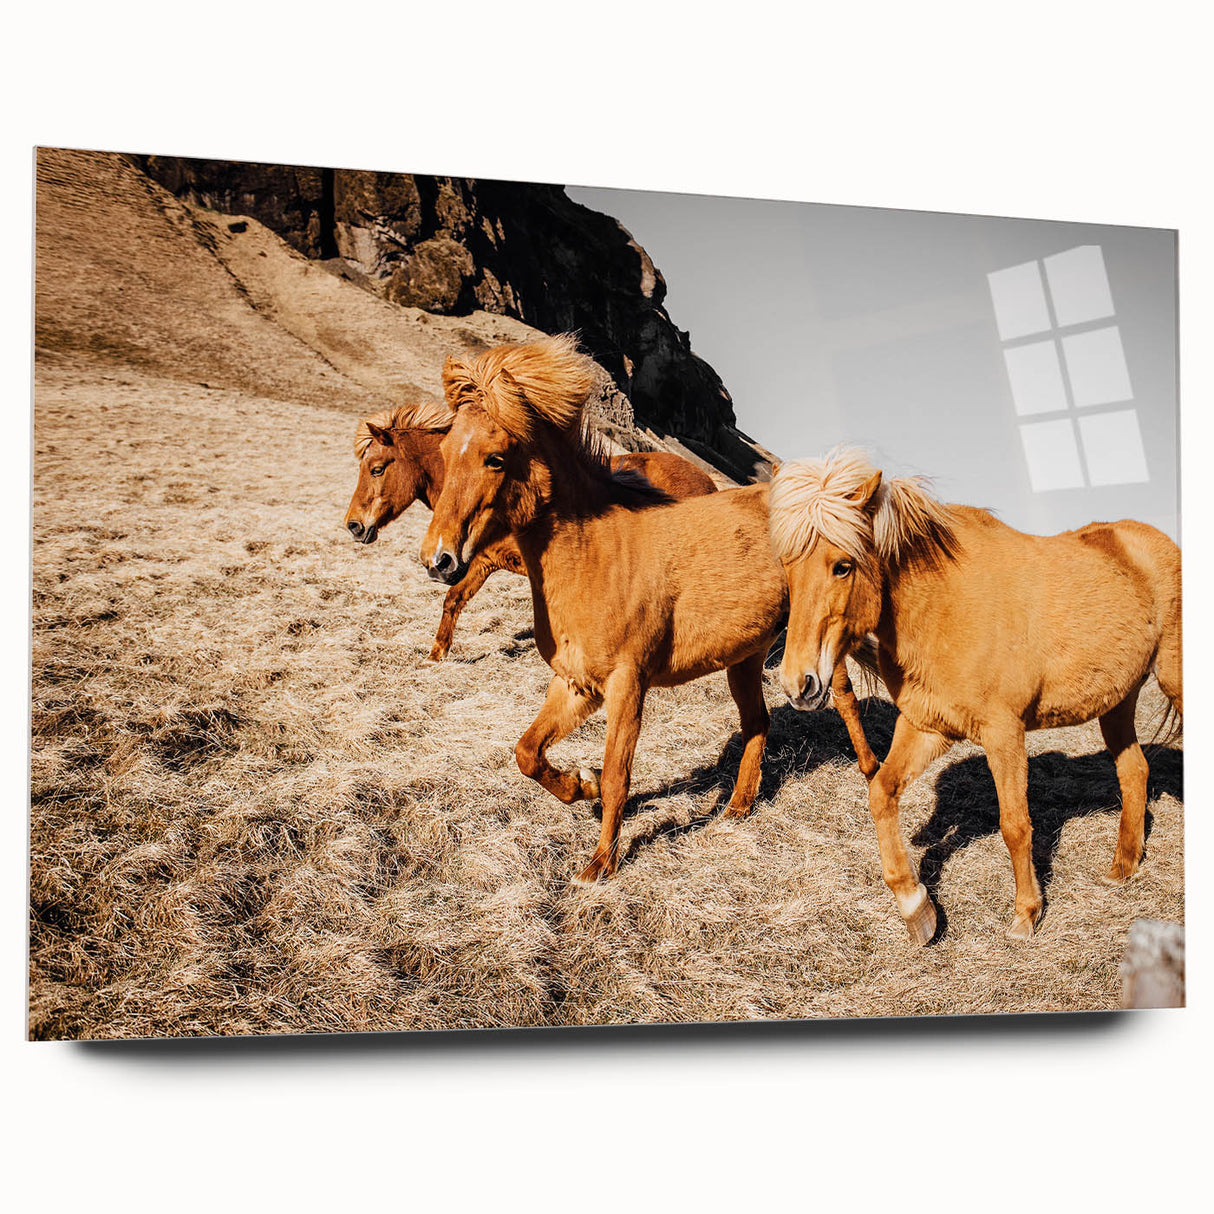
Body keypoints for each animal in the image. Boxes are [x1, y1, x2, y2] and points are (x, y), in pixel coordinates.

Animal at [344, 399, 719, 660]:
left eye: (376, 469)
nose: (354, 525)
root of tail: (706, 482)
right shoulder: (480, 562)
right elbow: (453, 600)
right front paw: (436, 656)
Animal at [418, 335, 880, 885]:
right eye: (445, 450)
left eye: (495, 458)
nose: (438, 559)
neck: (595, 555)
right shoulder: (575, 683)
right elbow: (528, 753)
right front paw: (582, 784)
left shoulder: (627, 684)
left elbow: (619, 773)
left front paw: (600, 863)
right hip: (746, 657)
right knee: (758, 722)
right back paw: (738, 808)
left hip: (813, 640)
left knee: (844, 698)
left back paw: (872, 772)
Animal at [769, 447, 1182, 944]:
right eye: (787, 565)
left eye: (842, 565)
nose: (799, 684)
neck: (944, 605)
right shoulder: (927, 726)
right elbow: (881, 792)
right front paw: (916, 907)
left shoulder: (1004, 733)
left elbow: (1015, 824)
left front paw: (1026, 915)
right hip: (1117, 703)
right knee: (1134, 771)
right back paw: (1122, 867)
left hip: (1175, 679)